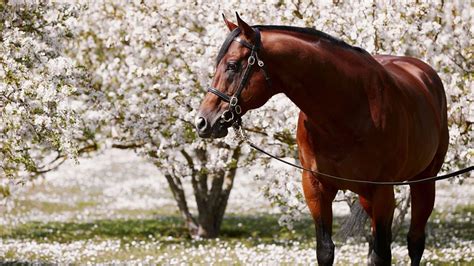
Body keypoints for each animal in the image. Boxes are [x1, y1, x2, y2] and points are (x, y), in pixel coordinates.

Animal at [195, 14, 448, 266]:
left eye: (232, 65)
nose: (202, 122)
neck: (346, 109)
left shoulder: (382, 191)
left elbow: (381, 256)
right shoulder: (315, 187)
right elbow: (326, 251)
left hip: (424, 182)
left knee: (415, 241)